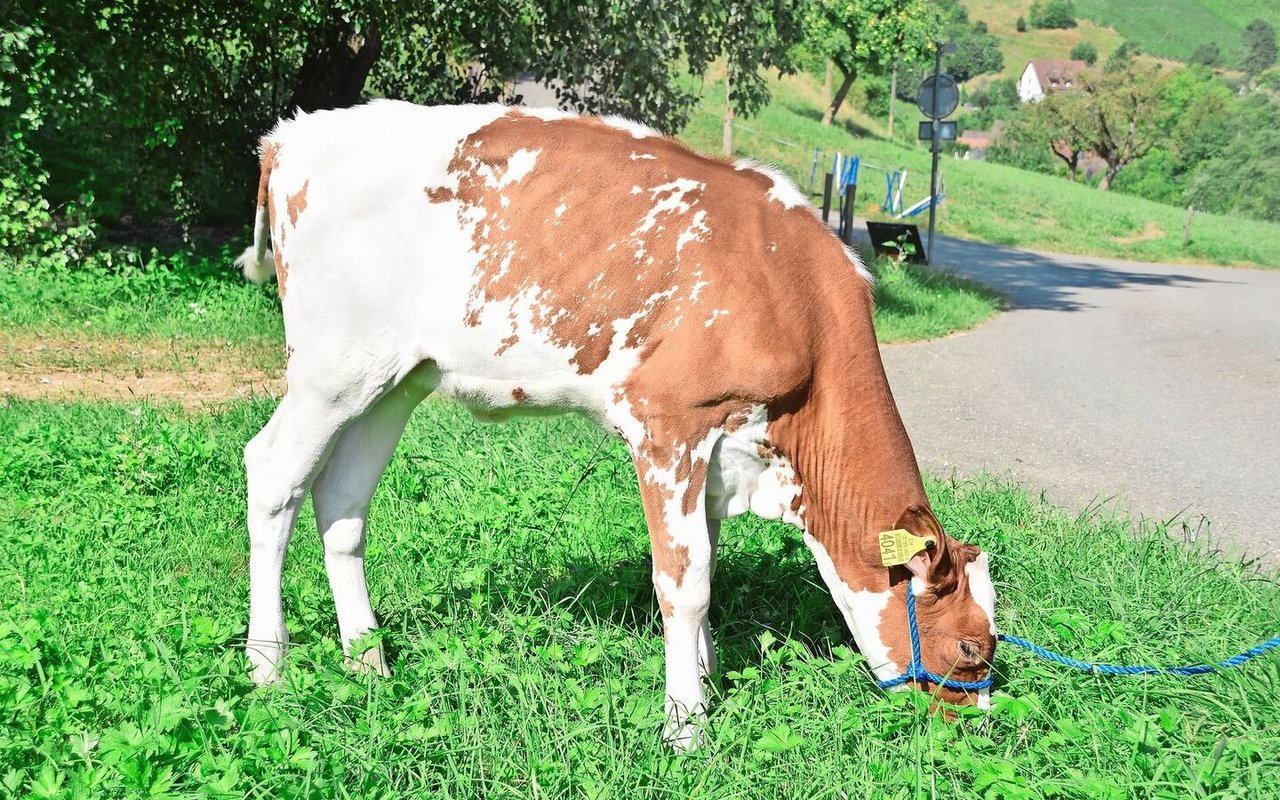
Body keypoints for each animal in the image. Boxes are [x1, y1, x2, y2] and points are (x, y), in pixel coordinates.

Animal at [240, 101, 998, 747]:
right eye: (970, 647)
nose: (978, 730)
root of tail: (292, 134)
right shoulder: (671, 424)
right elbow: (685, 583)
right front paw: (686, 726)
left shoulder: (721, 449)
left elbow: (709, 563)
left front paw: (707, 677)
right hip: (329, 368)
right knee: (273, 473)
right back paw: (267, 667)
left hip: (394, 379)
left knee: (342, 500)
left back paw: (367, 663)